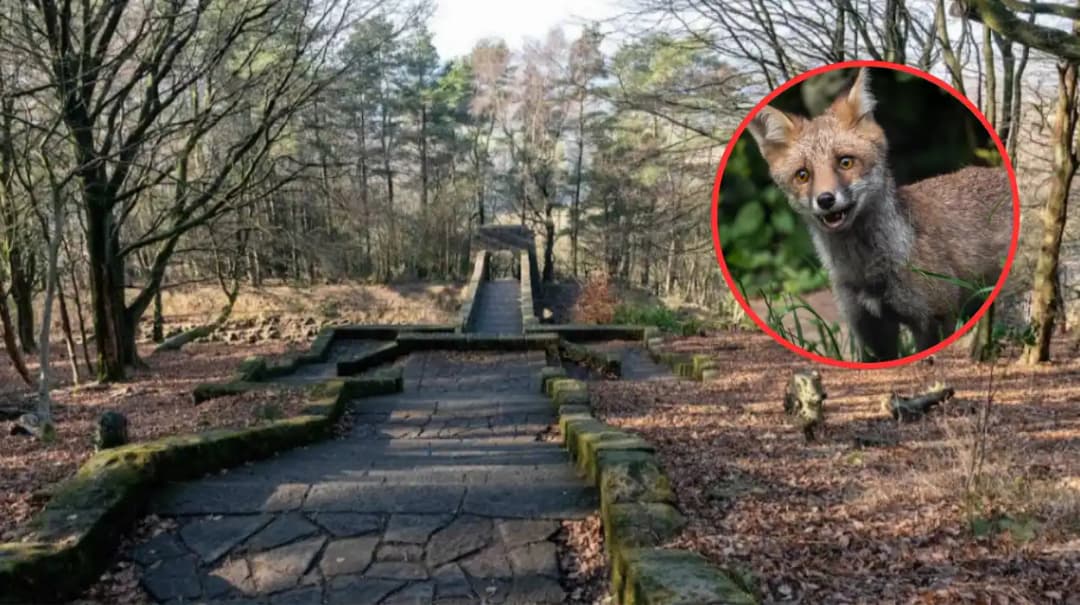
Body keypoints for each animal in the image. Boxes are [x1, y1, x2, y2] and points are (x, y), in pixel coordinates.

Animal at [746, 68, 1013, 361]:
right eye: (803, 175)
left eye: (845, 162)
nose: (825, 200)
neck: (867, 273)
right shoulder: (869, 328)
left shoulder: (936, 318)